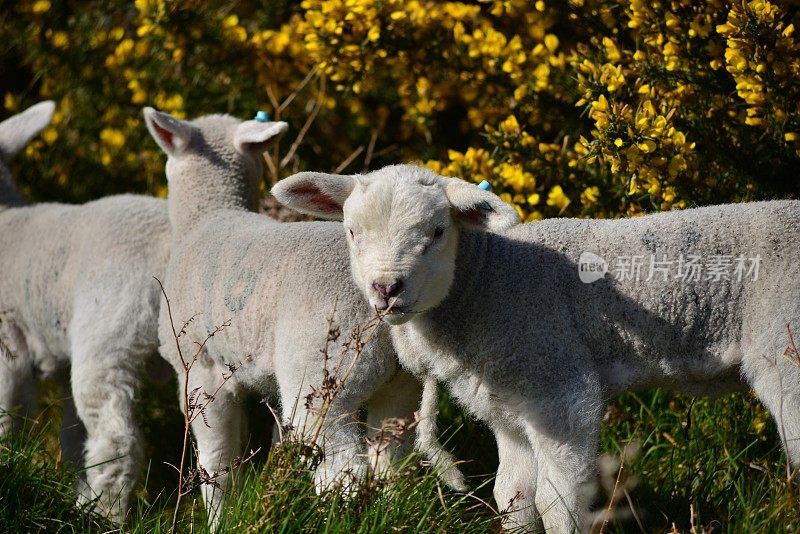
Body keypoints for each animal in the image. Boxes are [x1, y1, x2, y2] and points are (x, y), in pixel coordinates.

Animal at [147, 108, 466, 528]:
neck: (208, 215)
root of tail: (391, 318)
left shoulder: (202, 370)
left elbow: (217, 464)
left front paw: (220, 520)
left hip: (323, 378)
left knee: (344, 473)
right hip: (399, 386)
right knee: (390, 463)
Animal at [272, 165, 800, 532]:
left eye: (438, 232)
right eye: (351, 232)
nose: (386, 289)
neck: (487, 282)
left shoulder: (558, 388)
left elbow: (558, 502)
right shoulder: (507, 403)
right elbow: (513, 496)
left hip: (787, 355)